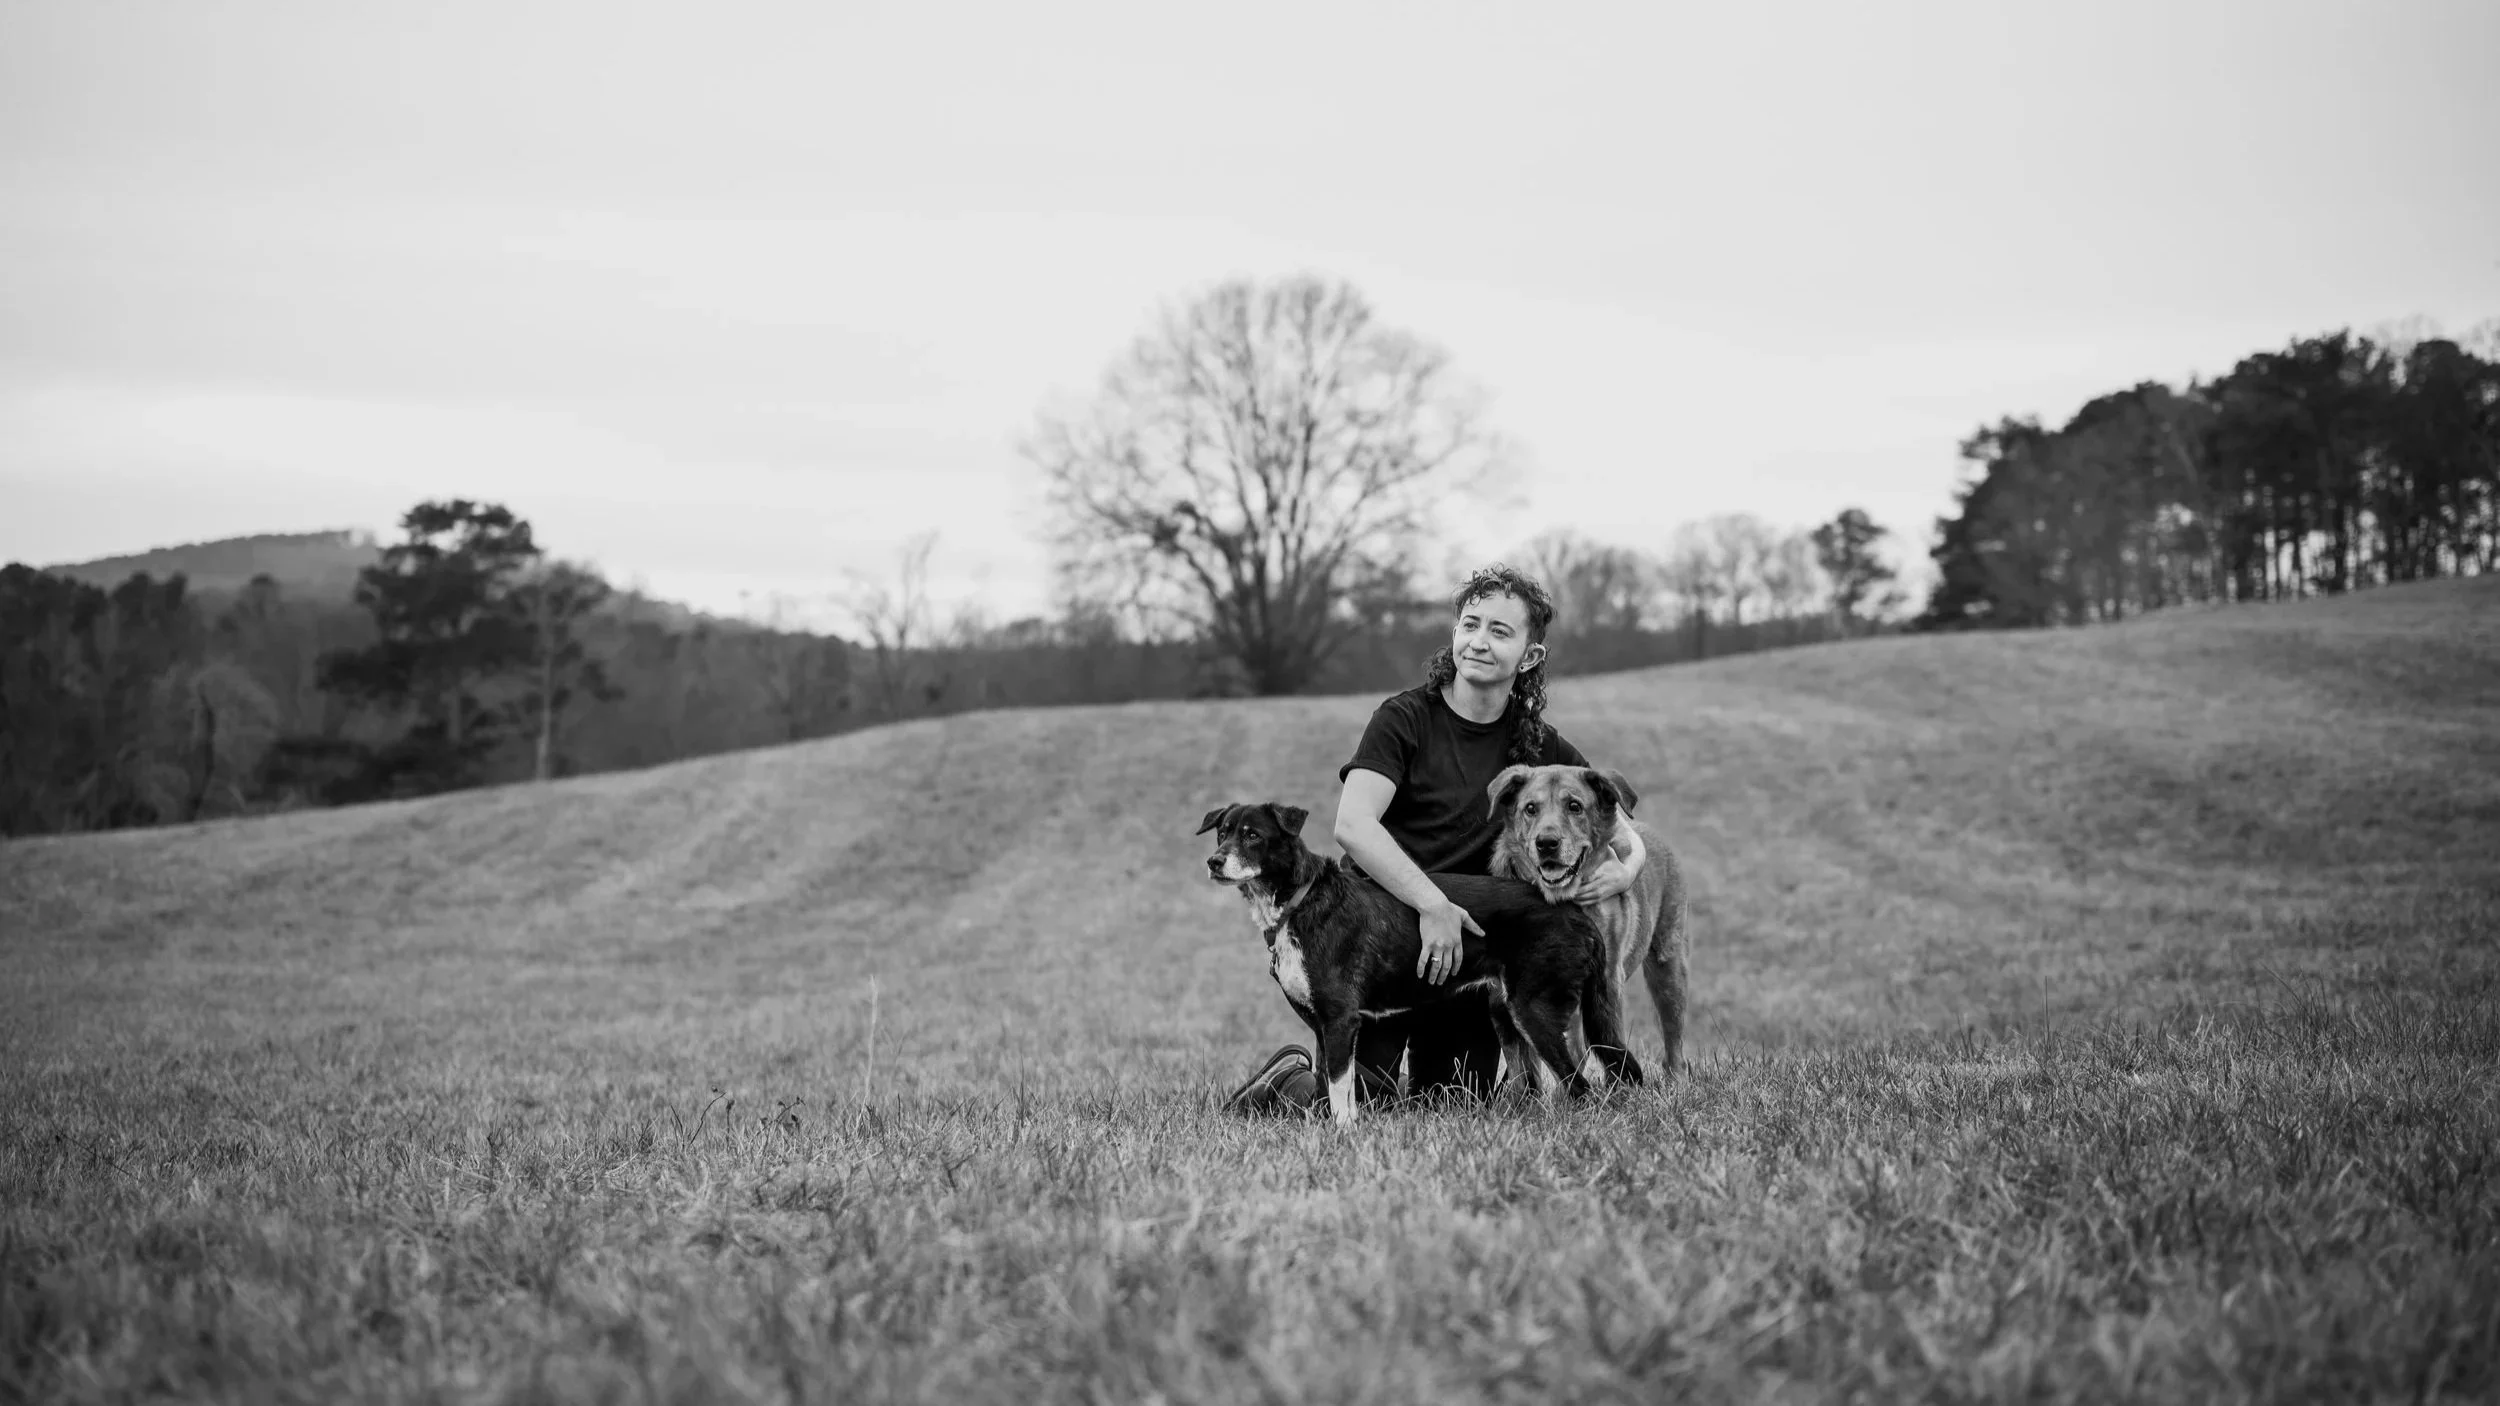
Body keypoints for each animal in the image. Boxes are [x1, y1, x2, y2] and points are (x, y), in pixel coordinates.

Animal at [1487, 766, 1689, 1080]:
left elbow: (1608, 1044)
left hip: (1667, 966)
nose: (1546, 843)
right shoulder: (1505, 997)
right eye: (1530, 808)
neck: (1561, 901)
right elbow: (1526, 1069)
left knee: (1673, 1041)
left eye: (1574, 806)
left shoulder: (1607, 978)